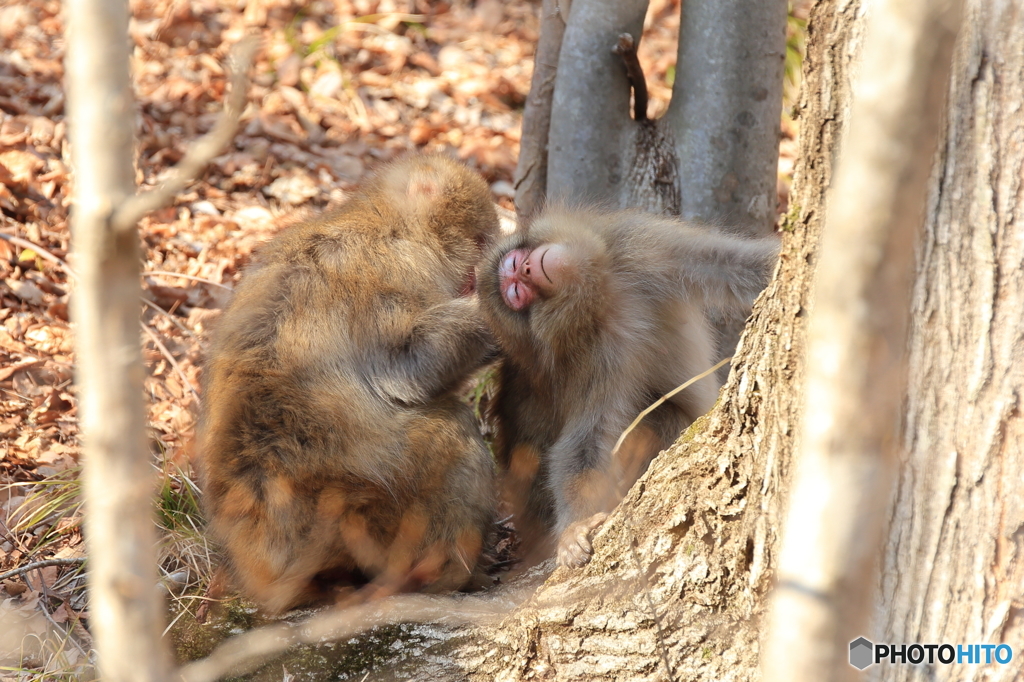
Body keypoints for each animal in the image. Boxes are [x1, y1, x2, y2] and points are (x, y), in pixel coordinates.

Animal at [195, 156, 499, 614]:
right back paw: (449, 575)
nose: (476, 274)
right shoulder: (392, 267)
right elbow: (407, 367)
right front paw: (491, 313)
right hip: (375, 508)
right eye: (479, 239)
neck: (385, 223)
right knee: (453, 433)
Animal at [475, 205, 778, 561]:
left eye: (516, 264)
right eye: (518, 292)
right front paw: (573, 528)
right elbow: (586, 439)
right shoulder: (590, 355)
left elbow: (734, 264)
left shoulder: (637, 245)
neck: (602, 291)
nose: (525, 268)